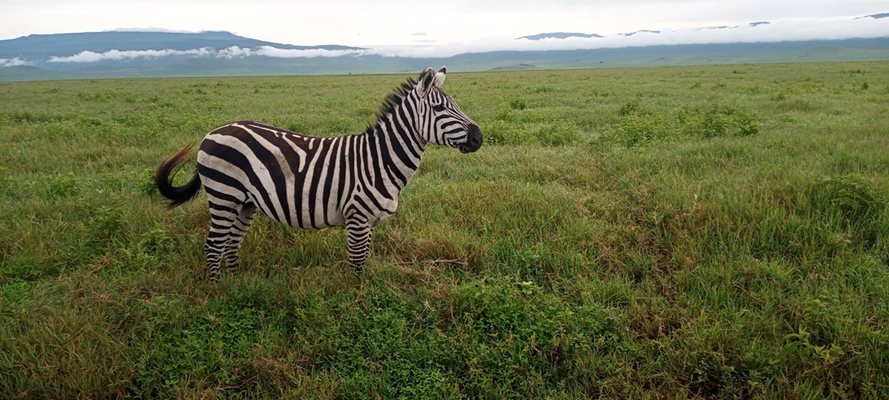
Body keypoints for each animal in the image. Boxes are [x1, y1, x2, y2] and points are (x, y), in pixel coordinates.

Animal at [156, 67, 482, 282]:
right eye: (439, 108)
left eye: (457, 105)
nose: (479, 138)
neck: (379, 159)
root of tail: (212, 132)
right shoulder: (357, 218)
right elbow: (357, 265)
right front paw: (357, 305)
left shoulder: (370, 221)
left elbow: (364, 260)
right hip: (224, 195)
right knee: (214, 245)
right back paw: (218, 293)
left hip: (245, 203)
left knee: (231, 243)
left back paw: (236, 287)